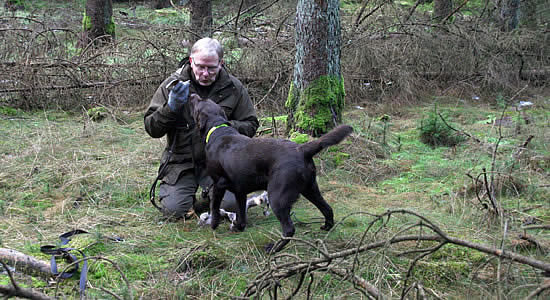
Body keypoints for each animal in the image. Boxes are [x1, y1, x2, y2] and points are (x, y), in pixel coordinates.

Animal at [190, 94, 354, 251]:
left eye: (199, 102)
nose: (192, 95)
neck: (218, 129)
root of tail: (301, 149)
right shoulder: (240, 191)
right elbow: (241, 213)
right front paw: (238, 227)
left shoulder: (218, 183)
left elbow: (215, 207)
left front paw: (214, 225)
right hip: (310, 188)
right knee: (327, 209)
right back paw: (326, 227)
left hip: (278, 197)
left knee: (289, 229)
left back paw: (273, 248)